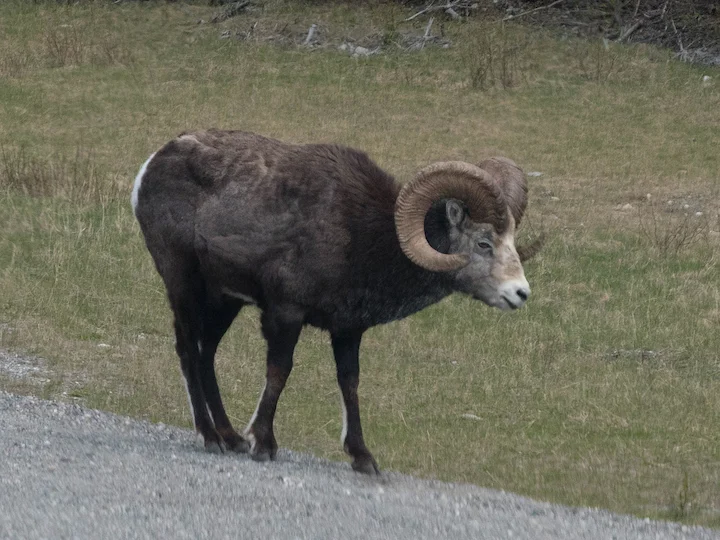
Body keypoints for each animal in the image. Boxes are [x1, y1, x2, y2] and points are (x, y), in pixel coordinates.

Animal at [132, 129, 541, 474]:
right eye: (484, 244)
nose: (520, 293)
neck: (367, 238)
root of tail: (152, 165)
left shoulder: (347, 331)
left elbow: (350, 383)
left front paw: (363, 459)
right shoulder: (286, 313)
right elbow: (279, 372)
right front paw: (263, 444)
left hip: (224, 302)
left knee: (206, 355)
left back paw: (229, 437)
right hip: (184, 284)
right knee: (189, 350)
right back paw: (210, 437)